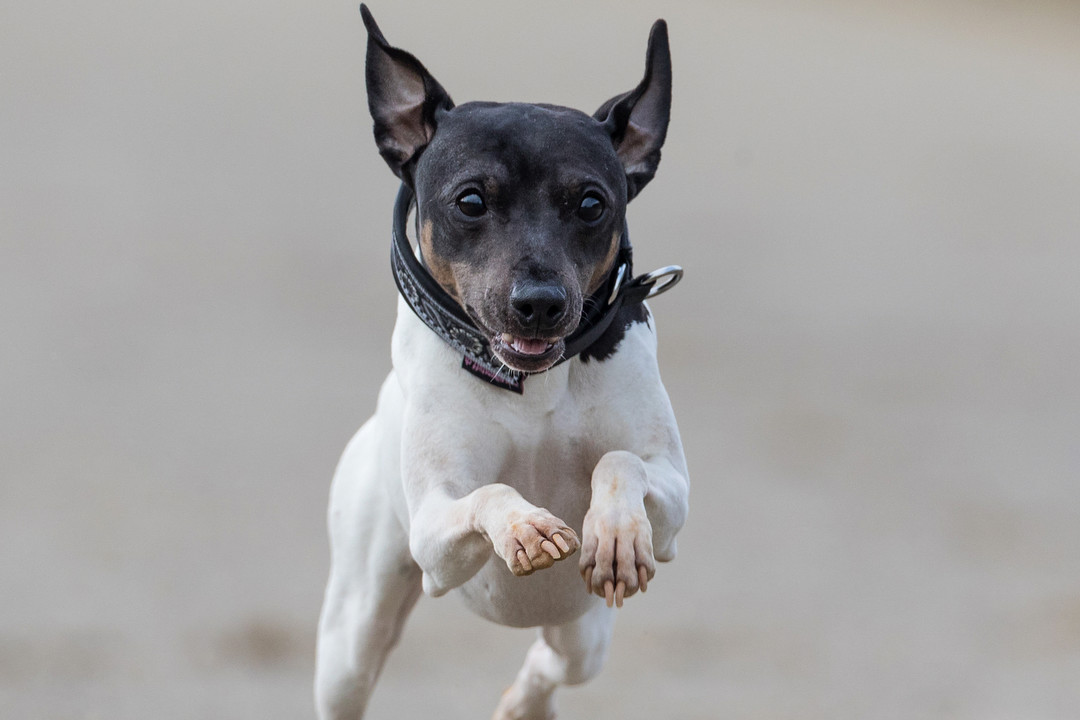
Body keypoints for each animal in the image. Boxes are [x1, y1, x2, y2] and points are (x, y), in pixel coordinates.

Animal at [315, 7, 691, 720]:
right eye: (470, 201)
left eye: (591, 204)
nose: (539, 304)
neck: (531, 387)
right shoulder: (433, 529)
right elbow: (485, 493)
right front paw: (521, 526)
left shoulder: (674, 495)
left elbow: (621, 460)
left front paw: (616, 529)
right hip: (352, 636)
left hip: (584, 631)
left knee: (554, 661)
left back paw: (526, 701)